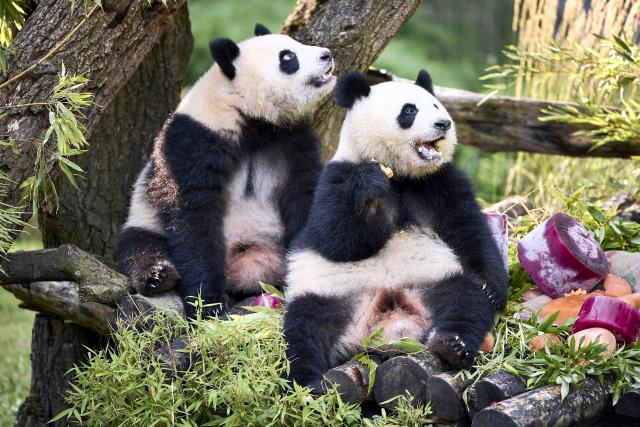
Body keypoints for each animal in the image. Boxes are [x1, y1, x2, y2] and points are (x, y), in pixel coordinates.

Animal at [116, 24, 336, 318]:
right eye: (288, 57)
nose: (326, 54)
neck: (250, 117)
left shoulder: (292, 140)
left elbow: (304, 197)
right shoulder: (193, 142)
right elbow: (193, 217)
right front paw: (208, 304)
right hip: (143, 217)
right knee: (139, 245)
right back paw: (158, 276)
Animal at [283, 70, 508, 391]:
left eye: (436, 106)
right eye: (409, 111)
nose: (444, 124)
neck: (401, 176)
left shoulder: (441, 181)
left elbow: (468, 229)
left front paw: (491, 287)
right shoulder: (334, 177)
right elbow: (336, 238)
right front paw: (369, 187)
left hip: (435, 280)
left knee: (465, 302)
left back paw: (451, 344)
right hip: (330, 296)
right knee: (303, 331)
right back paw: (307, 383)